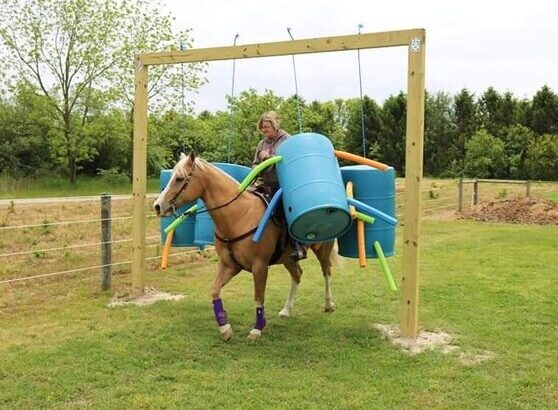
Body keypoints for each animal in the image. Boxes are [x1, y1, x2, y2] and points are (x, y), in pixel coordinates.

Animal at [153, 152, 340, 342]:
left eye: (179, 178)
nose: (158, 206)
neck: (239, 215)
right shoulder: (229, 265)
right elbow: (214, 291)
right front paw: (225, 328)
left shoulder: (260, 266)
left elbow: (259, 296)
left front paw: (257, 329)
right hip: (287, 258)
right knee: (298, 274)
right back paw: (286, 310)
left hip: (323, 249)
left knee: (326, 271)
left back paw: (329, 304)